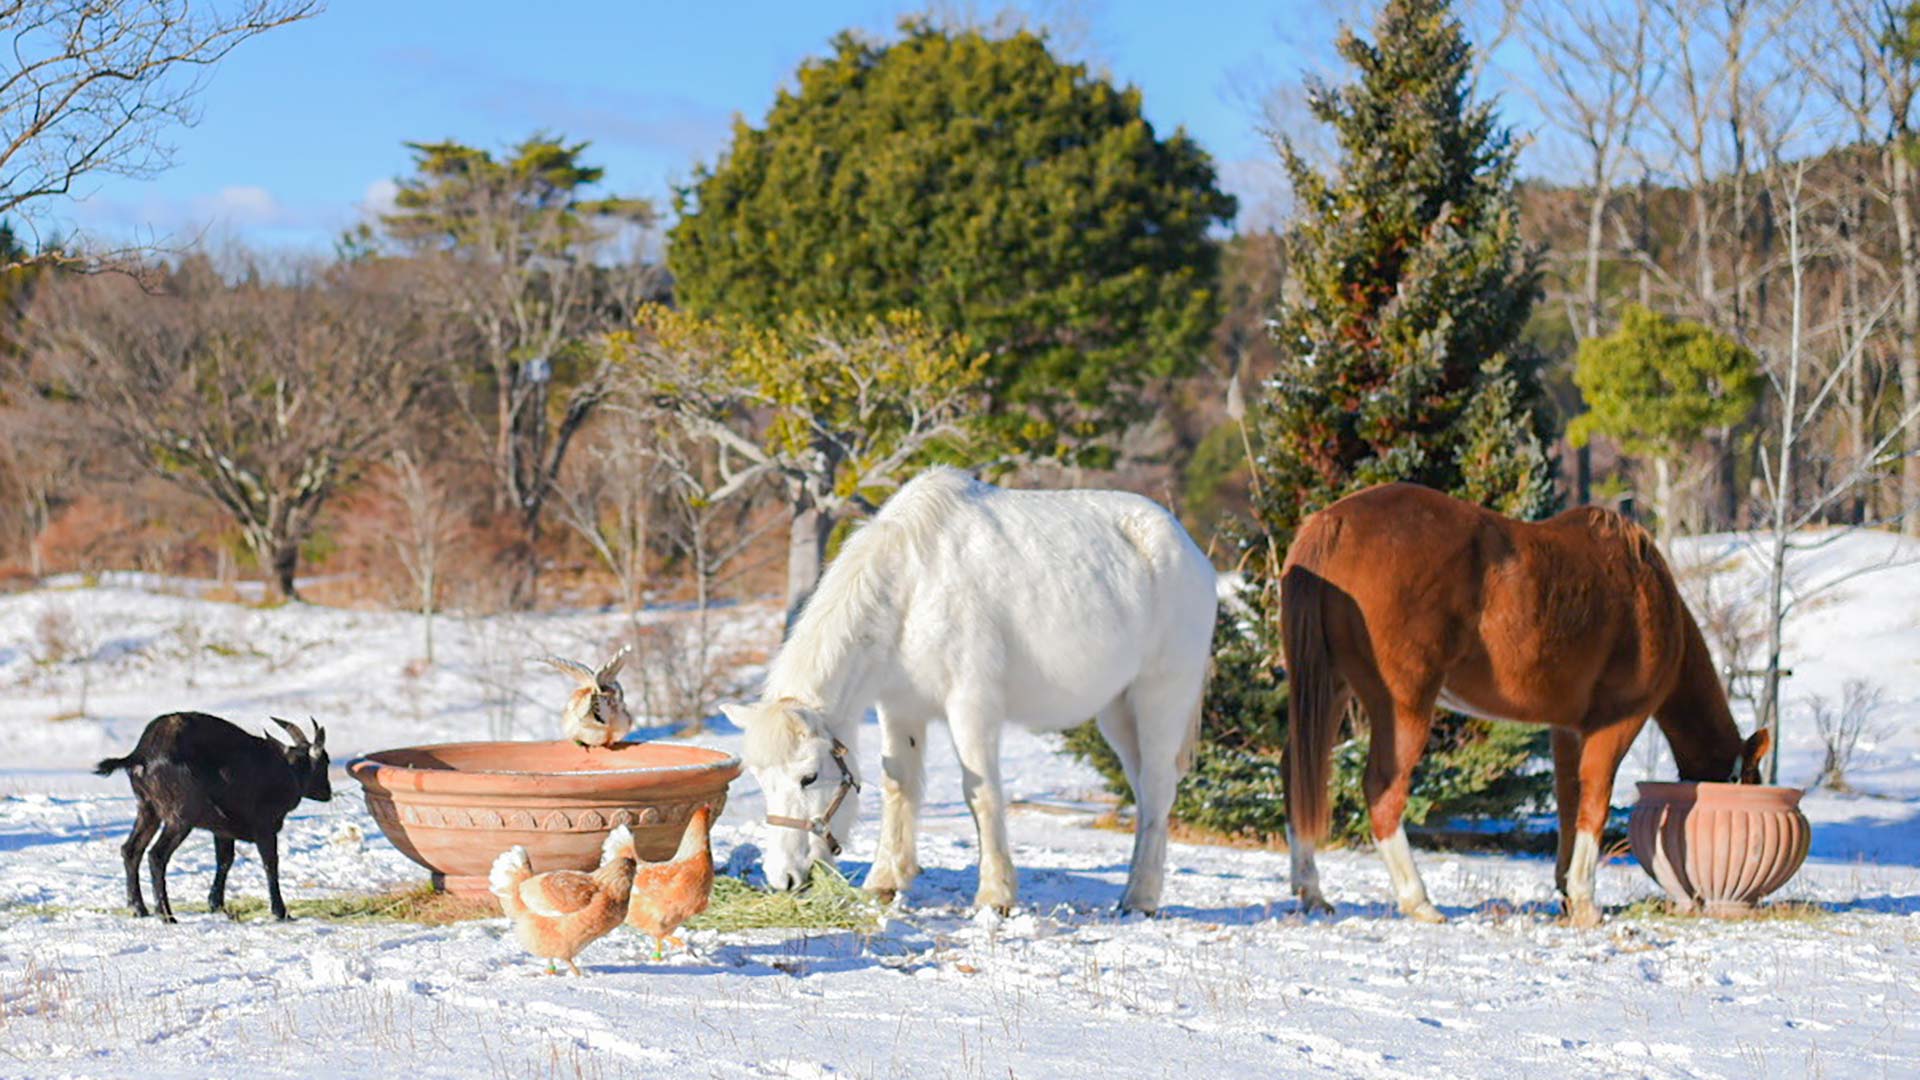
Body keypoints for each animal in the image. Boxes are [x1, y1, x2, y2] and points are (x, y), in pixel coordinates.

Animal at [94, 707, 334, 914]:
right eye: (325, 761)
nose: (327, 792)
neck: (288, 770)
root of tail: (141, 754)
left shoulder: (223, 830)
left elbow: (225, 861)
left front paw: (216, 904)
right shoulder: (264, 827)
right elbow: (270, 863)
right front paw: (280, 911)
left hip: (148, 810)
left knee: (131, 850)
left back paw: (139, 909)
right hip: (180, 817)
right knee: (156, 856)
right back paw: (166, 914)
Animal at [721, 463, 1213, 907]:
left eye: (808, 777)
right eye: (761, 781)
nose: (782, 878)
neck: (912, 588)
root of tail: (1187, 547)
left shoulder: (971, 706)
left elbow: (982, 795)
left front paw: (996, 895)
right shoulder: (900, 707)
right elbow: (900, 786)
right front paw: (886, 880)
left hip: (1159, 699)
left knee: (1157, 788)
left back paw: (1140, 897)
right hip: (1117, 711)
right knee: (1145, 795)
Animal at [1282, 484, 1758, 922]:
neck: (1646, 591)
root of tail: (1334, 523)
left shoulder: (1567, 730)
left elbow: (1569, 801)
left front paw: (1566, 892)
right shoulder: (1618, 721)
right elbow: (1596, 800)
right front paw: (1585, 902)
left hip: (1329, 692)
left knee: (1297, 772)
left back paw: (1312, 892)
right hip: (1404, 706)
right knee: (1383, 789)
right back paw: (1418, 901)